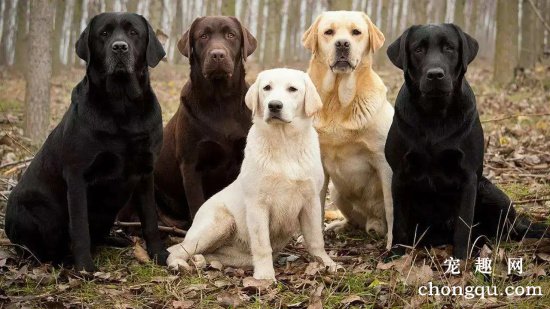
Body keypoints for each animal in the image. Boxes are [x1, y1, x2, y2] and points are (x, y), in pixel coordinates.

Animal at [167, 68, 340, 280]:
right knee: (177, 249)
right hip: (220, 222)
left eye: (293, 89)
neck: (283, 143)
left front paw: (326, 263)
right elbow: (262, 244)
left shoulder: (311, 201)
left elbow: (316, 239)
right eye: (267, 88)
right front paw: (265, 276)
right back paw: (178, 265)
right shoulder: (258, 205)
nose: (274, 105)